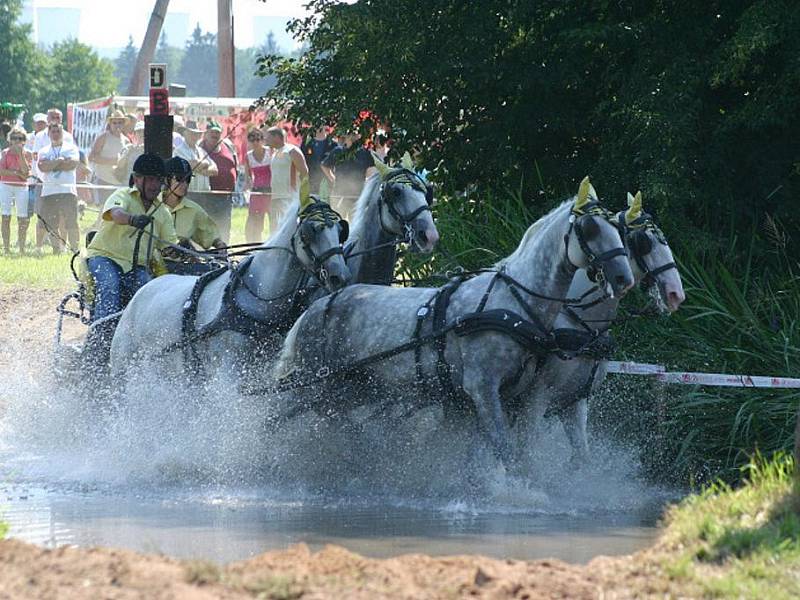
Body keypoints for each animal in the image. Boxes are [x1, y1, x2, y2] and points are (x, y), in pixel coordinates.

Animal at [276, 177, 636, 464]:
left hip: (351, 391)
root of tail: (316, 307)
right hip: (311, 387)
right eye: (590, 229)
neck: (513, 304)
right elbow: (506, 451)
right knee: (274, 418)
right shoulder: (483, 389)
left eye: (619, 230)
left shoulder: (501, 397)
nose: (623, 278)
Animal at [520, 192, 688, 464]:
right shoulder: (535, 399)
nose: (676, 294)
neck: (579, 320)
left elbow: (582, 457)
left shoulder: (574, 402)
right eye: (644, 241)